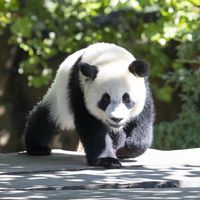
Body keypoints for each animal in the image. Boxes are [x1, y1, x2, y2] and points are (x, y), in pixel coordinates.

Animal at [23, 42, 155, 169]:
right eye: (105, 99)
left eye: (126, 98)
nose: (116, 119)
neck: (110, 57)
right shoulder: (79, 89)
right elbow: (91, 126)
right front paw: (107, 160)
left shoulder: (145, 90)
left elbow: (143, 122)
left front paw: (126, 148)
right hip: (59, 102)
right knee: (43, 121)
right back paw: (38, 148)